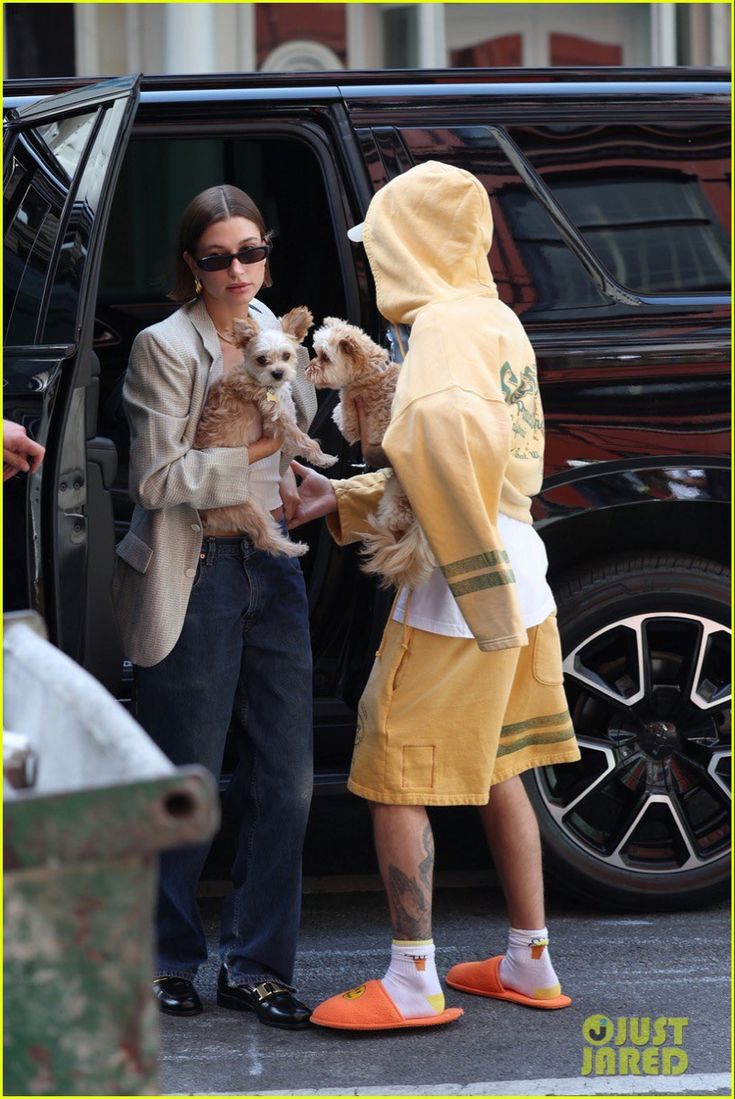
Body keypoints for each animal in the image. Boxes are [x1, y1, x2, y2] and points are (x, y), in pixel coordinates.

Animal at [192, 305, 336, 558]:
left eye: (287, 356)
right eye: (261, 359)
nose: (278, 373)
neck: (266, 385)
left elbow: (297, 441)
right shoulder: (278, 420)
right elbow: (304, 439)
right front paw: (323, 458)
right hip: (247, 506)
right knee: (263, 539)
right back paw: (293, 548)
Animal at [305, 318, 432, 593]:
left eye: (325, 357)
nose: (308, 368)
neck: (372, 371)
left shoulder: (352, 410)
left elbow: (342, 418)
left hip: (393, 499)